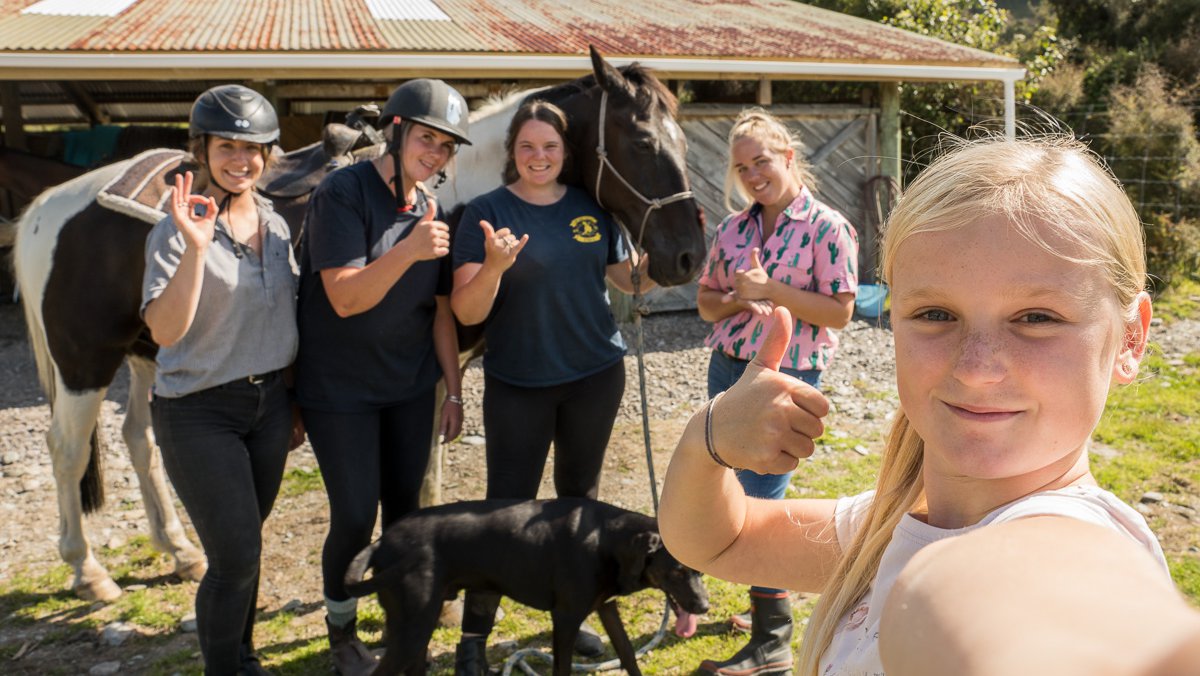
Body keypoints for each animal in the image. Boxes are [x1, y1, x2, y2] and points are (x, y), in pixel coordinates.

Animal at [11, 45, 700, 600]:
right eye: (643, 143)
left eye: (685, 143)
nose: (688, 257)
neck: (454, 197)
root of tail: (50, 206)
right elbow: (421, 482)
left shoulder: (436, 374)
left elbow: (425, 475)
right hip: (83, 361)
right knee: (66, 448)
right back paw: (88, 572)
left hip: (144, 353)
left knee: (140, 441)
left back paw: (180, 551)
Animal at [343, 497, 705, 676]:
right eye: (677, 572)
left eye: (700, 571)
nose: (704, 607)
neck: (606, 537)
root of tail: (381, 542)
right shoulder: (565, 618)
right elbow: (561, 669)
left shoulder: (606, 607)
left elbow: (628, 655)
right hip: (413, 626)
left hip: (417, 626)